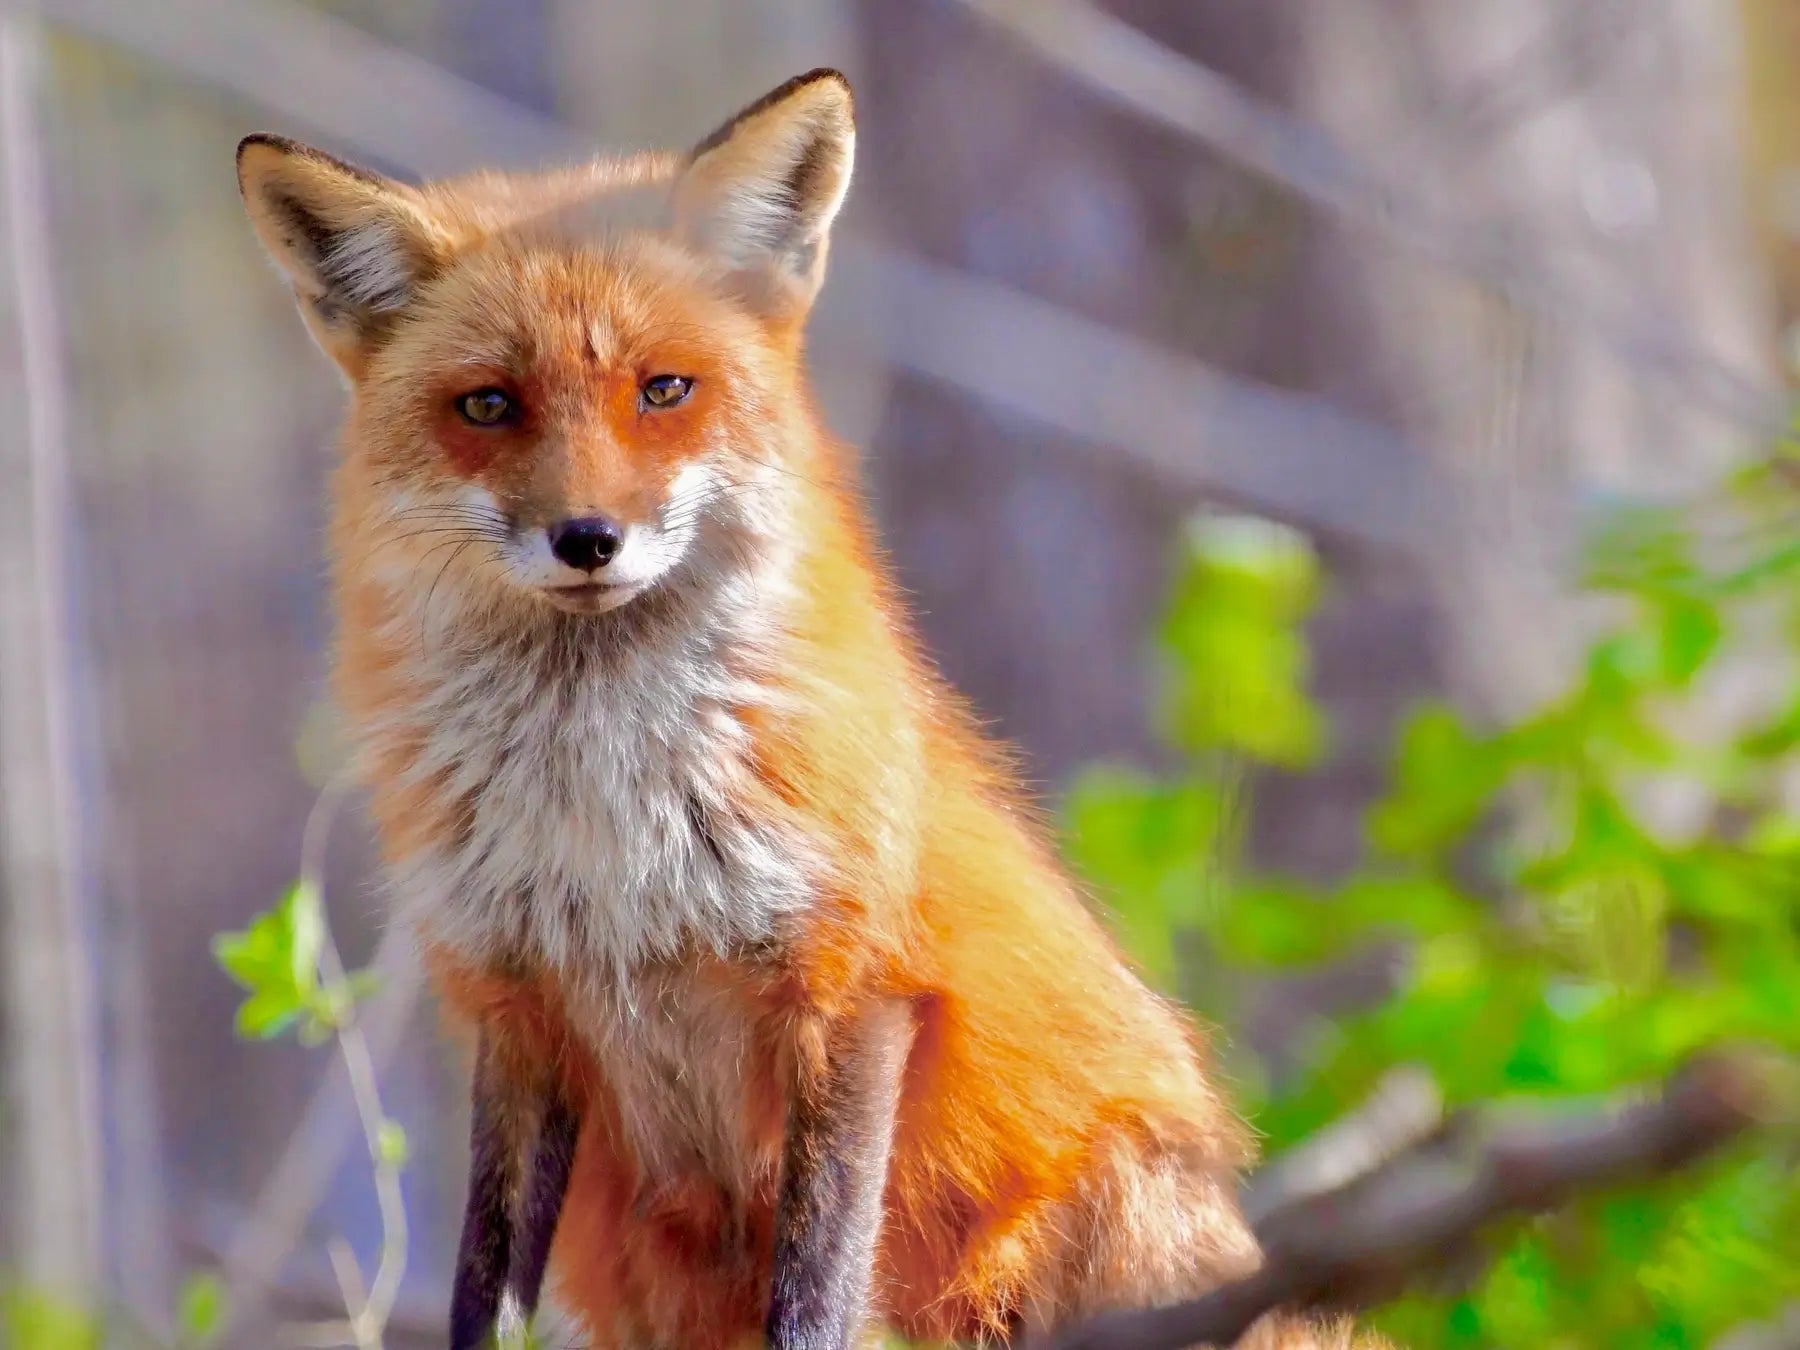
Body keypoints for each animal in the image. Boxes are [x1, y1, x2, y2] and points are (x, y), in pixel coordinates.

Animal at [232, 71, 1368, 1350]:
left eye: (663, 391)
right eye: (487, 405)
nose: (588, 538)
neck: (608, 826)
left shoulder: (848, 988)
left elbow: (815, 1294)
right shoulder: (520, 1013)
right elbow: (484, 1297)